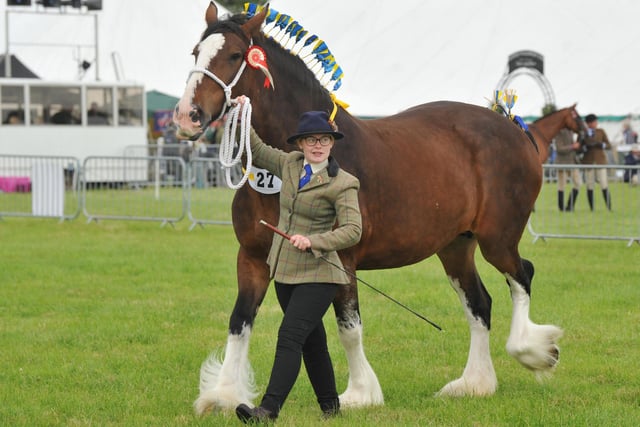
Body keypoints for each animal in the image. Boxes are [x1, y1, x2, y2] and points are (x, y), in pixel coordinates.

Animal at [172, 1, 564, 412]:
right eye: (196, 53)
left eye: (234, 55)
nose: (187, 116)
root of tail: (513, 127)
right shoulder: (252, 257)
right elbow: (240, 320)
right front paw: (224, 394)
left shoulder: (341, 259)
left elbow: (349, 327)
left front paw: (360, 393)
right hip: (456, 246)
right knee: (479, 303)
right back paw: (474, 383)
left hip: (497, 239)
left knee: (521, 275)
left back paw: (533, 351)